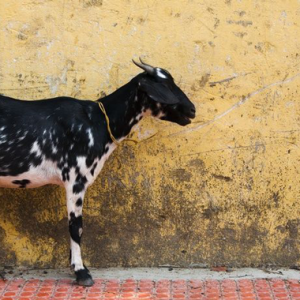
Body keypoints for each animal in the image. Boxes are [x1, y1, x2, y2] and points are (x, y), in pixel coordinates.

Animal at [0, 59, 197, 286]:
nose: (192, 110)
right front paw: (81, 272)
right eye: (165, 85)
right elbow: (76, 226)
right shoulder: (76, 179)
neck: (97, 121)